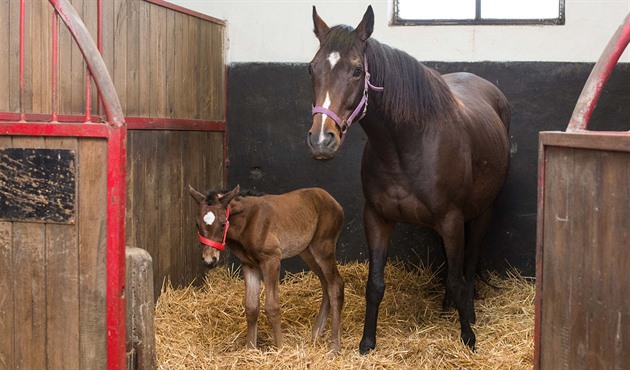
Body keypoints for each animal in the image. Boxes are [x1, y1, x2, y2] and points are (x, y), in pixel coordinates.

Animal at [308, 5, 512, 352]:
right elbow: (375, 284)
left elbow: (458, 279)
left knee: (469, 264)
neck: (405, 147)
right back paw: (446, 309)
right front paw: (367, 343)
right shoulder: (377, 218)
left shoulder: (451, 219)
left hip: (482, 212)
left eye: (357, 71)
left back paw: (468, 313)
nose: (322, 140)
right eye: (312, 69)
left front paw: (468, 339)